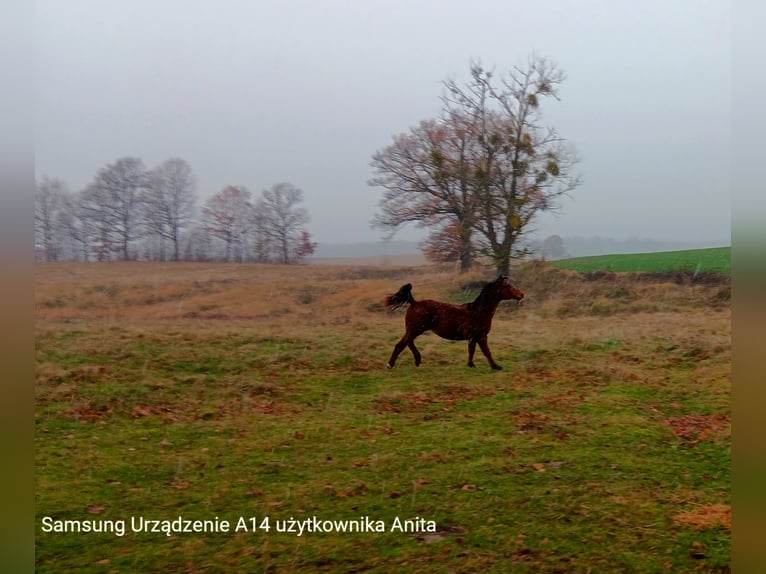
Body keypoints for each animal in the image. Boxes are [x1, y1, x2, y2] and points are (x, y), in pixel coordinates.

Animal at [388, 276, 524, 374]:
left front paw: (471, 364)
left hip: (414, 330)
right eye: (507, 286)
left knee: (408, 342)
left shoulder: (473, 337)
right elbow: (486, 351)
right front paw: (496, 366)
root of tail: (414, 302)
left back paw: (417, 359)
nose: (521, 294)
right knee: (401, 344)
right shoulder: (481, 336)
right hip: (415, 330)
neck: (479, 312)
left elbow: (471, 350)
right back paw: (391, 364)